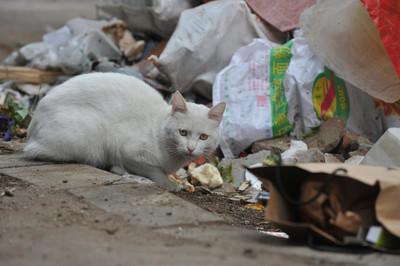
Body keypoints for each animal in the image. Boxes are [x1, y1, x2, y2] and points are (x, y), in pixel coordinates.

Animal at [25, 71, 225, 190]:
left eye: (203, 137)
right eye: (182, 132)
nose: (191, 148)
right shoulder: (129, 151)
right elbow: (154, 171)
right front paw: (170, 184)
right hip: (88, 137)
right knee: (37, 152)